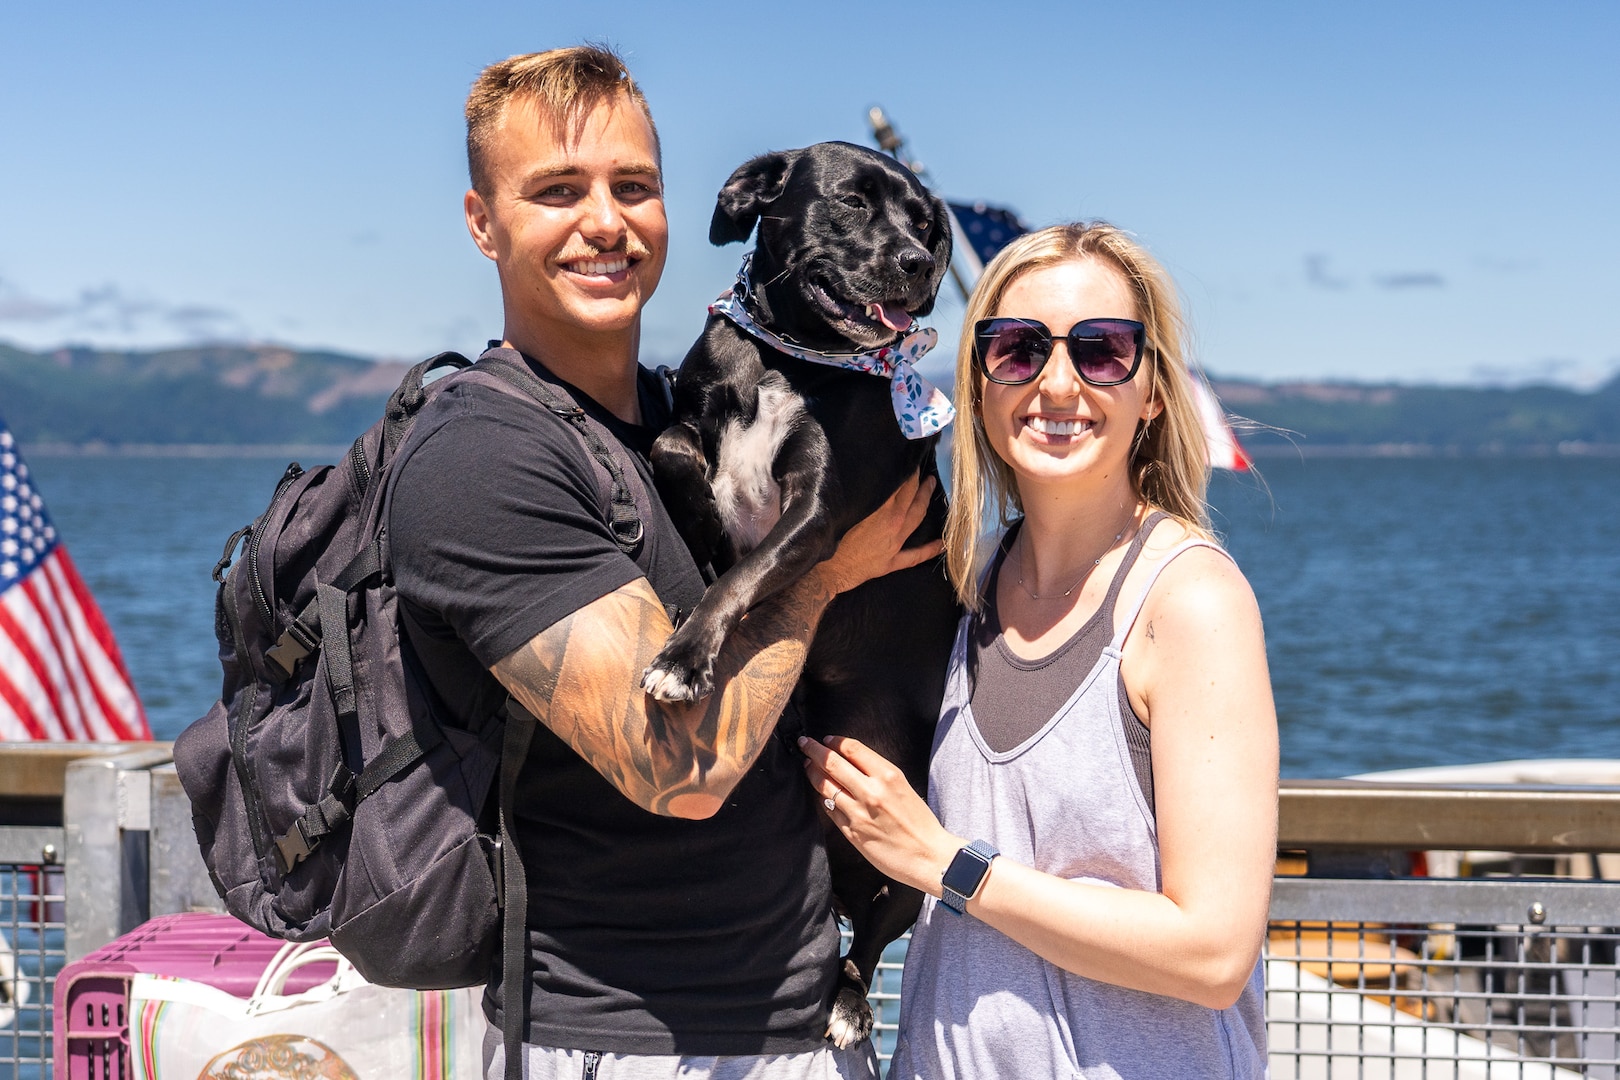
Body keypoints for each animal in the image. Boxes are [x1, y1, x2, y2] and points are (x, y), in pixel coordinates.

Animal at [638, 143, 959, 1049]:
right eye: (851, 201)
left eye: (926, 222)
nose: (918, 264)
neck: (791, 355)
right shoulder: (695, 428)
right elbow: (673, 449)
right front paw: (705, 532)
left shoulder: (821, 506)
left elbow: (746, 577)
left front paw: (685, 658)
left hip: (905, 853)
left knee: (872, 939)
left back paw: (849, 1006)